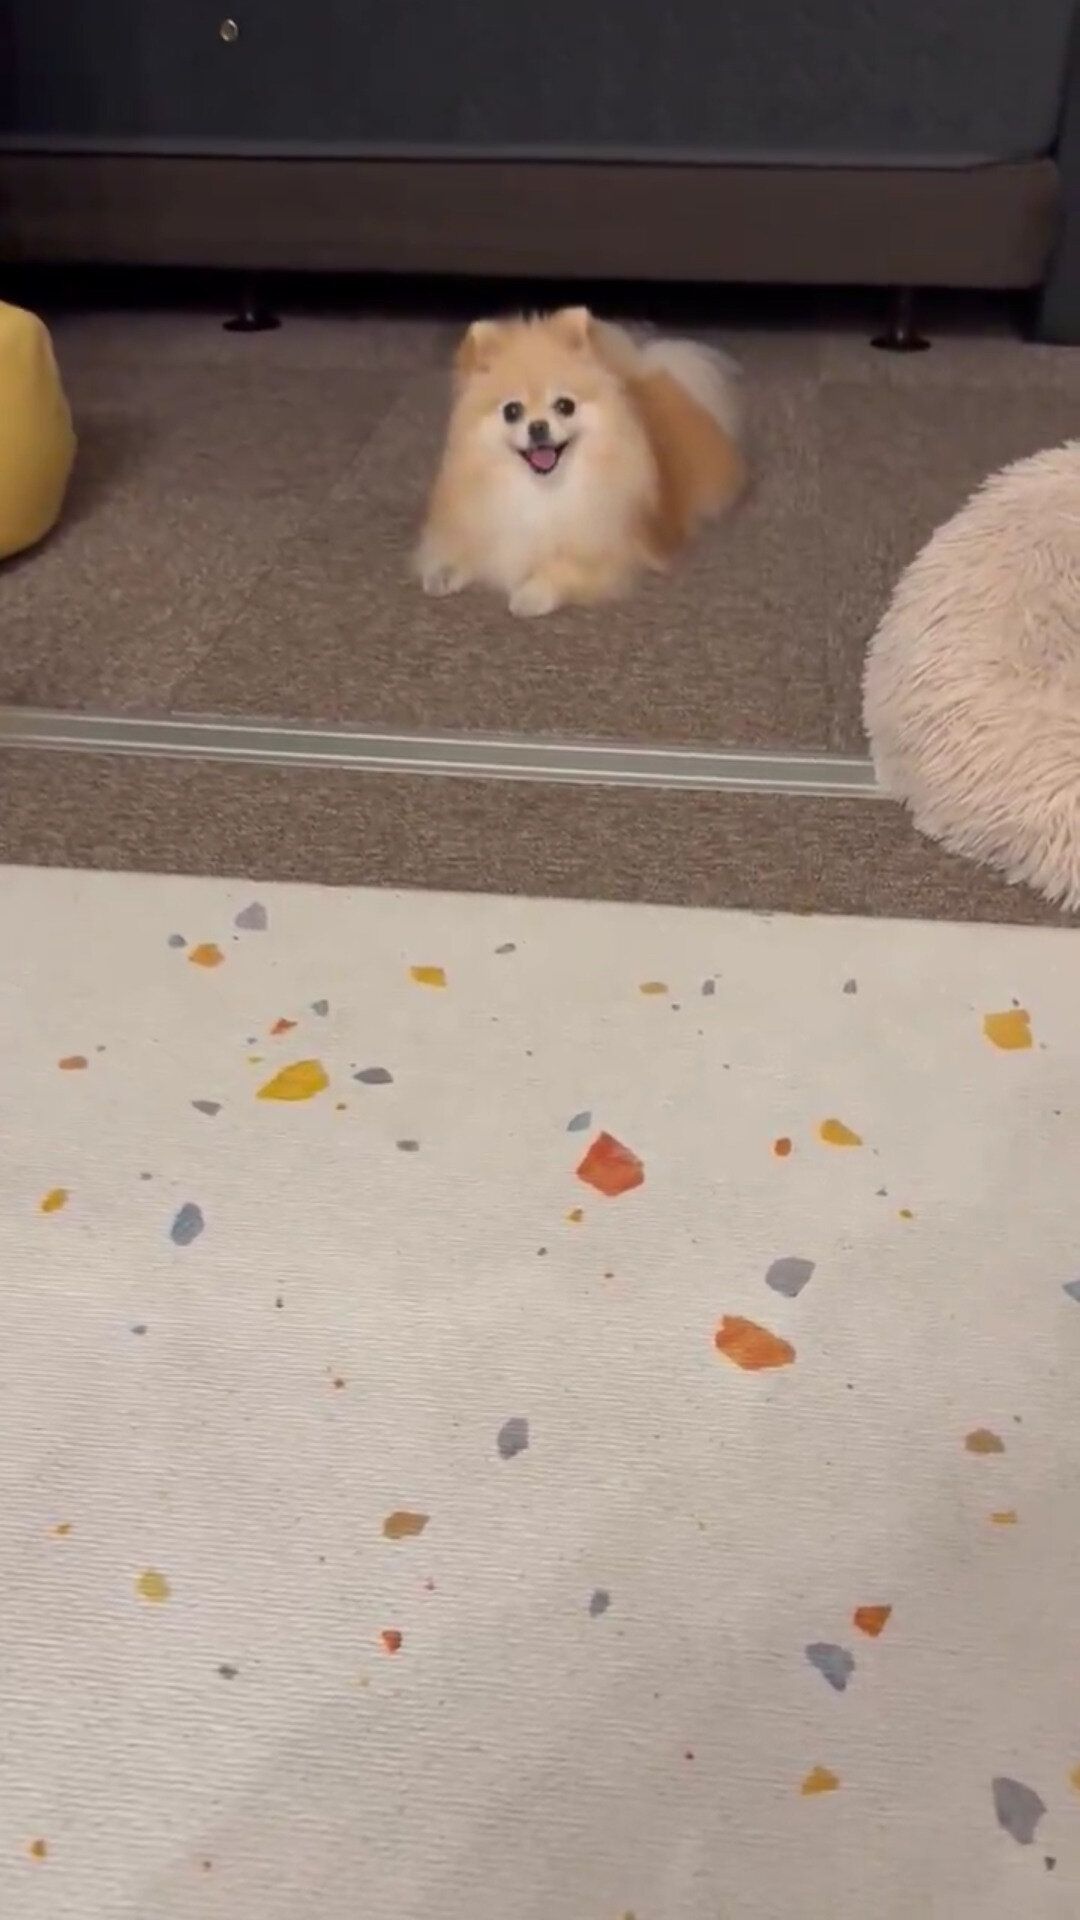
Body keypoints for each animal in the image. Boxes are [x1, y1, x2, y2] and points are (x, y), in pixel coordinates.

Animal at [415, 306, 746, 617]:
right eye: (512, 411)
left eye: (565, 406)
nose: (538, 426)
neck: (541, 491)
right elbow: (467, 546)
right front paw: (445, 570)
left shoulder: (611, 554)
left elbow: (564, 568)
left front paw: (532, 592)